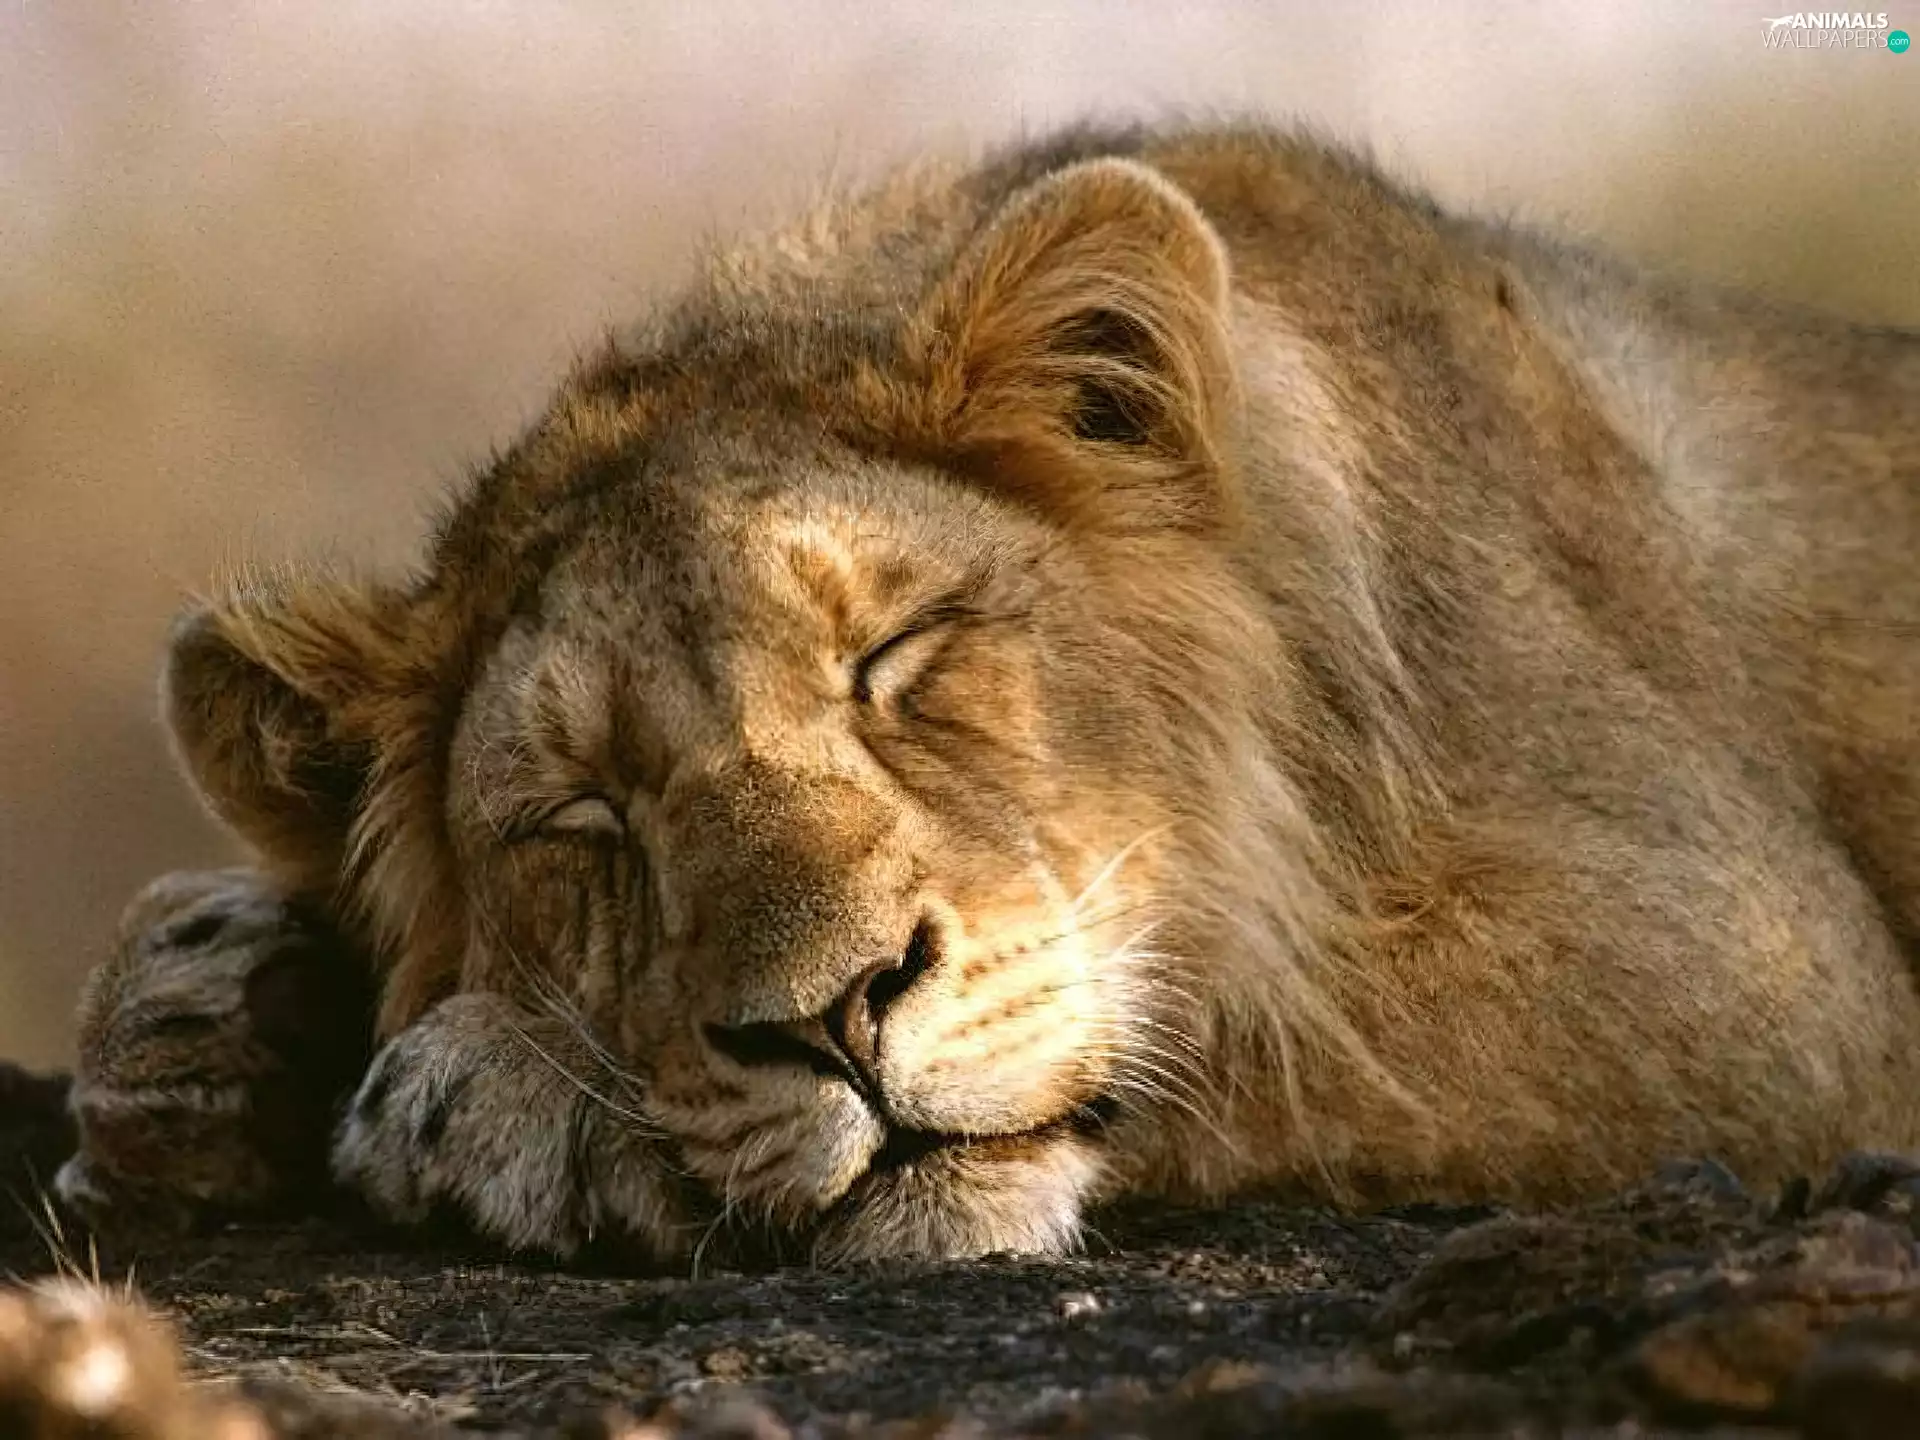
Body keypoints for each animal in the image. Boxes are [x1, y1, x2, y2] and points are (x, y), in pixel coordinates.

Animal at [49, 120, 1920, 1269]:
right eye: (583, 816)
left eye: (896, 656)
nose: (829, 1020)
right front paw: (200, 1022)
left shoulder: (1760, 970)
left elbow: (1259, 1016)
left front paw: (491, 1101)